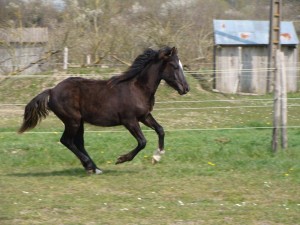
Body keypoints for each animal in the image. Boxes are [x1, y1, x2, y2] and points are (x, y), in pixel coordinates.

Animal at [18, 46, 190, 174]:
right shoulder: (129, 120)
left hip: (79, 122)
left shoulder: (144, 116)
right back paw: (90, 166)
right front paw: (121, 159)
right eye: (175, 66)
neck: (138, 88)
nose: (186, 88)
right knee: (66, 141)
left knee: (78, 143)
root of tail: (52, 90)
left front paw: (157, 157)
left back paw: (94, 168)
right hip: (72, 121)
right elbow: (142, 141)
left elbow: (160, 130)